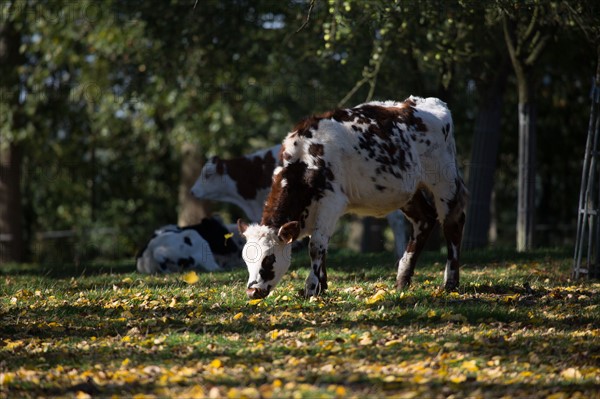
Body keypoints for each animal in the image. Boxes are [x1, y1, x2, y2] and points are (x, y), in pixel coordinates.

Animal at [238, 97, 468, 300]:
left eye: (269, 260)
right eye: (246, 260)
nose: (252, 292)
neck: (304, 160)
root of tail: (428, 102)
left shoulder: (330, 202)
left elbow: (316, 246)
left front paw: (311, 288)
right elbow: (322, 247)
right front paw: (322, 286)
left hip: (444, 180)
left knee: (452, 223)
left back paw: (450, 282)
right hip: (408, 191)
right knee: (425, 219)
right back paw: (402, 279)